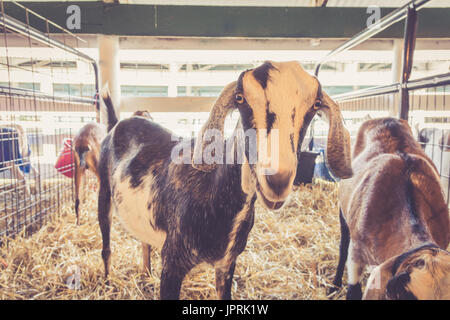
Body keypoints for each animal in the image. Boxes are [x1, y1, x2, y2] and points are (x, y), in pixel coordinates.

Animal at [96, 62, 354, 300]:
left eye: (315, 105)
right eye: (240, 98)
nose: (277, 180)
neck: (213, 190)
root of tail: (117, 124)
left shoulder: (227, 263)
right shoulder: (172, 263)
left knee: (144, 242)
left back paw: (146, 275)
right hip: (104, 192)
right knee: (106, 246)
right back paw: (107, 284)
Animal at [330, 117, 450, 300]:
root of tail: (386, 119)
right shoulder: (356, 253)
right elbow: (353, 290)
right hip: (343, 214)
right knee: (343, 247)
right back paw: (334, 285)